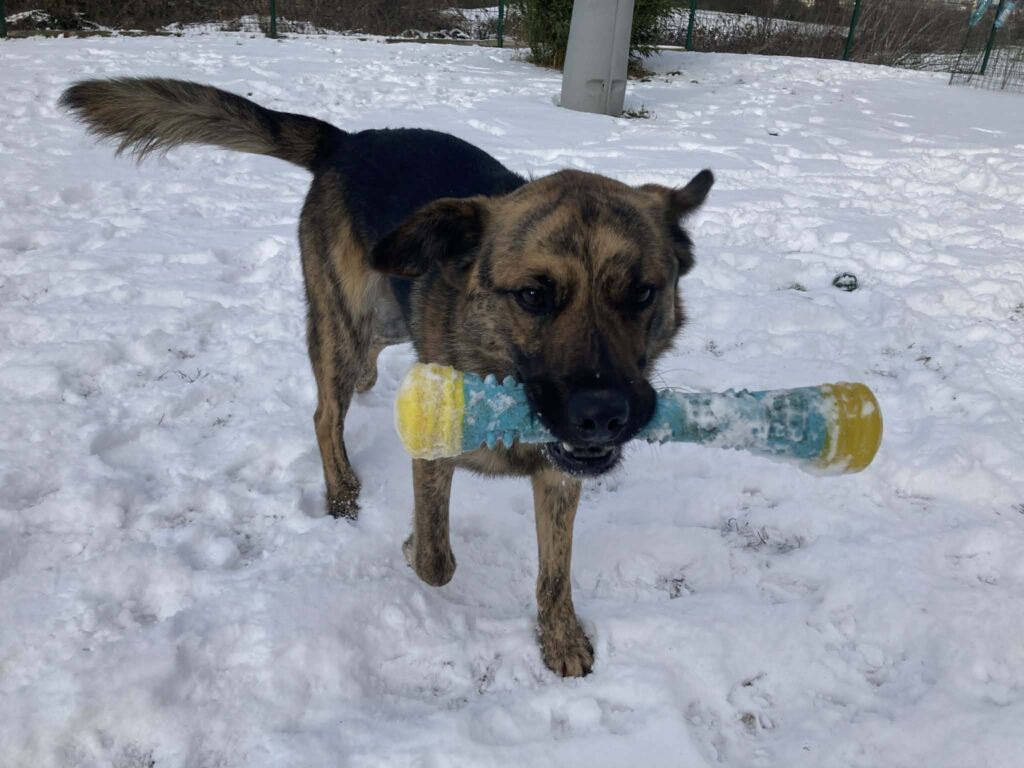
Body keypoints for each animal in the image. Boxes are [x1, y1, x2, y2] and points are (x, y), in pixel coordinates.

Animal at [60, 78, 713, 677]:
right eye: (533, 295)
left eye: (642, 293)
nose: (603, 415)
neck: (503, 381)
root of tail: (347, 142)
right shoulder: (435, 456)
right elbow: (435, 560)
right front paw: (408, 544)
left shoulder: (559, 476)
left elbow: (555, 571)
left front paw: (560, 637)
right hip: (345, 323)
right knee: (326, 410)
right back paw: (342, 489)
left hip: (389, 317)